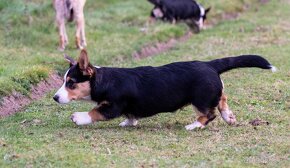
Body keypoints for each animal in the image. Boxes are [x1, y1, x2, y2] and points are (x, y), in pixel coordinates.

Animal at [52, 49, 276, 131]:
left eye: (71, 83)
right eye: (64, 81)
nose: (55, 98)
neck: (104, 81)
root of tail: (209, 64)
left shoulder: (112, 106)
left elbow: (94, 111)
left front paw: (78, 117)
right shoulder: (127, 107)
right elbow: (131, 115)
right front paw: (129, 122)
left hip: (200, 99)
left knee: (209, 114)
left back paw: (194, 125)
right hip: (211, 92)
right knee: (222, 98)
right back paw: (229, 117)